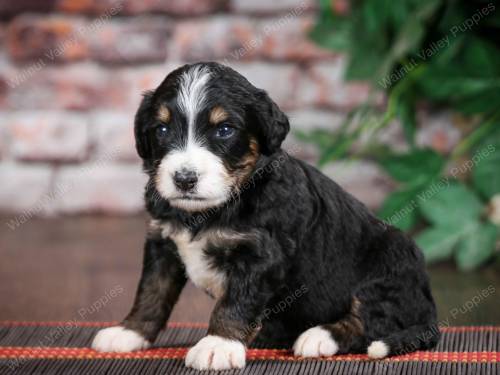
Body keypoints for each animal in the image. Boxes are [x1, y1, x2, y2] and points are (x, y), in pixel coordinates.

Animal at [92, 61, 440, 370]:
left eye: (225, 130)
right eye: (162, 129)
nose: (184, 178)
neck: (212, 210)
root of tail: (428, 309)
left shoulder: (262, 252)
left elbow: (235, 302)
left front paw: (218, 345)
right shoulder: (162, 243)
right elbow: (152, 291)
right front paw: (129, 331)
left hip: (388, 266)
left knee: (370, 321)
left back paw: (318, 337)